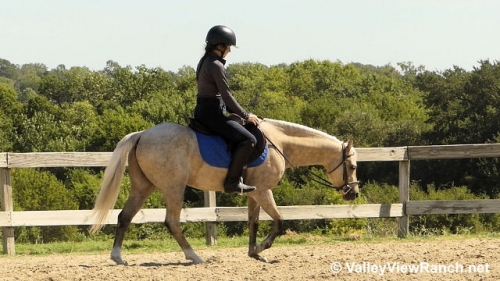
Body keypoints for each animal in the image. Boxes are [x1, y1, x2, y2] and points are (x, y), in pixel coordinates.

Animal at [91, 117, 360, 264]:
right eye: (353, 166)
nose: (353, 194)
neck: (280, 144)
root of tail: (142, 135)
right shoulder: (263, 191)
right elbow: (279, 221)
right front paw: (262, 248)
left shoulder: (253, 192)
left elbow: (253, 221)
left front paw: (254, 253)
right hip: (173, 188)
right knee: (172, 221)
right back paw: (194, 256)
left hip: (143, 187)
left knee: (125, 216)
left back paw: (118, 257)